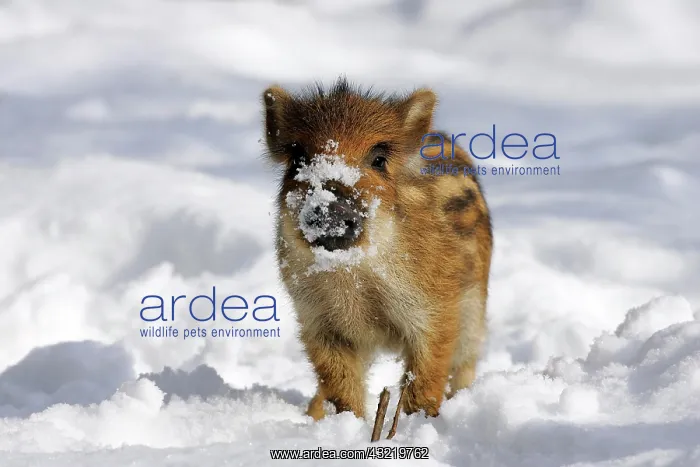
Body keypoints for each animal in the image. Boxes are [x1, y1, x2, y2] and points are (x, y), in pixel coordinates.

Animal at [261, 77, 493, 420]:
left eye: (379, 159)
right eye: (298, 159)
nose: (331, 207)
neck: (352, 274)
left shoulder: (433, 309)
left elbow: (424, 381)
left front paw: (413, 425)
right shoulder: (318, 322)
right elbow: (342, 388)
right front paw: (349, 425)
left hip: (474, 310)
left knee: (463, 367)